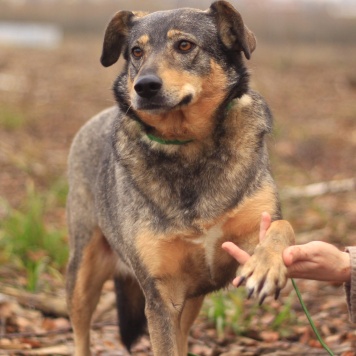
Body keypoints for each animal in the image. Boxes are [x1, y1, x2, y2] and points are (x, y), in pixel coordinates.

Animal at [66, 1, 294, 354]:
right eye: (136, 51)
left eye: (185, 45)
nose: (144, 86)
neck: (189, 145)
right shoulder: (161, 297)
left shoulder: (244, 241)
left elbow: (282, 228)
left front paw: (267, 266)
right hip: (83, 272)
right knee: (80, 329)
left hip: (191, 300)